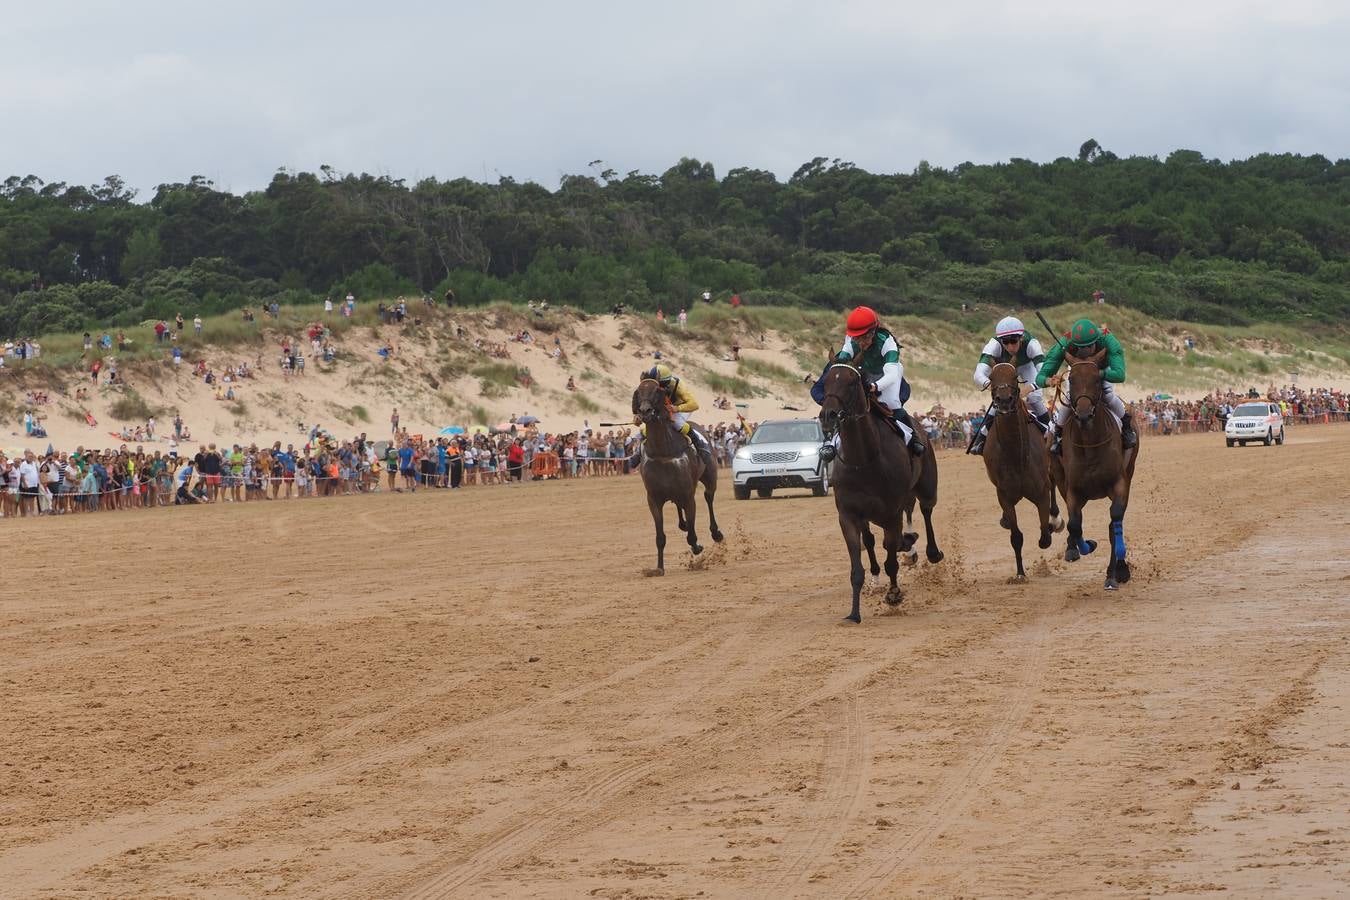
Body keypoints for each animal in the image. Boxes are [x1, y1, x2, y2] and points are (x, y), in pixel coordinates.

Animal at [629, 377, 718, 574]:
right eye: (638, 391)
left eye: (656, 391)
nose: (644, 412)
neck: (663, 452)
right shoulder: (654, 499)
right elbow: (660, 537)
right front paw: (659, 568)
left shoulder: (688, 495)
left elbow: (692, 535)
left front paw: (697, 547)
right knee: (679, 507)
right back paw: (682, 524)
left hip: (710, 476)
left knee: (708, 497)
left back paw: (716, 533)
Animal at [815, 356, 945, 620]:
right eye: (826, 380)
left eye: (852, 382)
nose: (828, 415)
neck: (864, 460)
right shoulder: (849, 515)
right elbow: (859, 563)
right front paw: (854, 613)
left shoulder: (891, 513)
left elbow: (891, 559)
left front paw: (894, 595)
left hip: (927, 486)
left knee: (925, 510)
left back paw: (929, 551)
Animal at [982, 361, 1063, 580]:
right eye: (991, 378)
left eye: (1014, 376)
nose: (1004, 401)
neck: (1016, 455)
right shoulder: (1004, 495)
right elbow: (1016, 536)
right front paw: (1019, 573)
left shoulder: (1041, 491)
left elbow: (1044, 536)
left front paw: (1052, 523)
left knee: (1053, 484)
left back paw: (1056, 518)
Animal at [1042, 350, 1139, 591]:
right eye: (1072, 380)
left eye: (1096, 379)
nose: (1084, 414)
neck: (1090, 444)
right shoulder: (1073, 490)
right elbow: (1075, 524)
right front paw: (1085, 546)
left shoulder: (1119, 484)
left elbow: (1115, 521)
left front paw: (1117, 572)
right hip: (1060, 477)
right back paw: (1072, 548)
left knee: (1114, 523)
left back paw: (1116, 572)